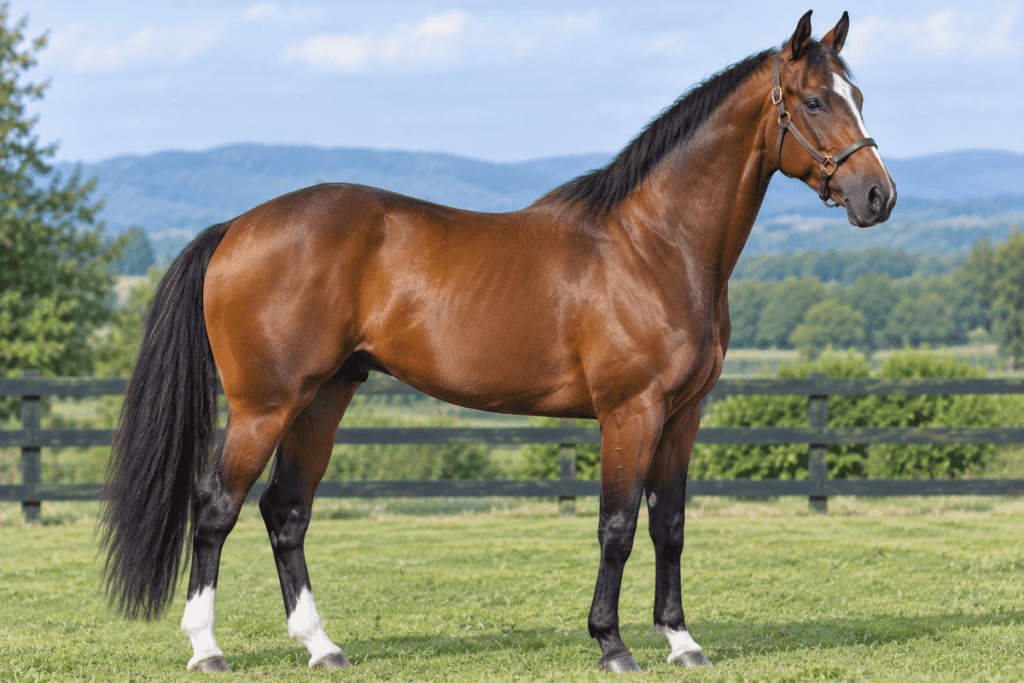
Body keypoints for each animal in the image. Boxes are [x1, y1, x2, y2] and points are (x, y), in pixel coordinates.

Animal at [100, 10, 895, 673]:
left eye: (859, 94)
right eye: (815, 101)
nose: (878, 196)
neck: (653, 245)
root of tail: (235, 227)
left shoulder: (682, 415)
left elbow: (668, 524)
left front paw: (681, 639)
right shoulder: (629, 412)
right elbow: (615, 525)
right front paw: (612, 644)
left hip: (323, 398)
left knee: (285, 511)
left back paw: (322, 645)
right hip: (264, 405)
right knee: (216, 508)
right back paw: (207, 647)